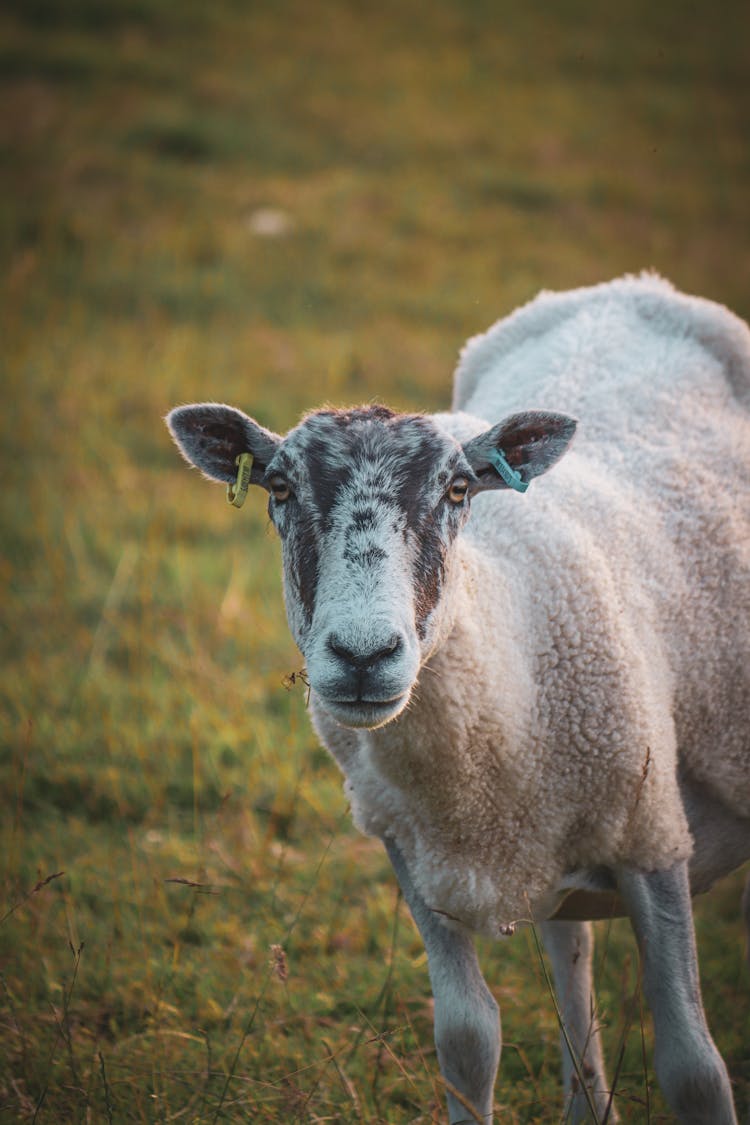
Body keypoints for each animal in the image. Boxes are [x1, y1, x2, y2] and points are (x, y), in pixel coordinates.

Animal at [167, 274, 746, 1125]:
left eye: (459, 487)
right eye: (277, 486)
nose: (364, 655)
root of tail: (633, 286)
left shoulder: (654, 837)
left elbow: (694, 1068)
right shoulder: (417, 852)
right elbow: (468, 1040)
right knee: (569, 951)